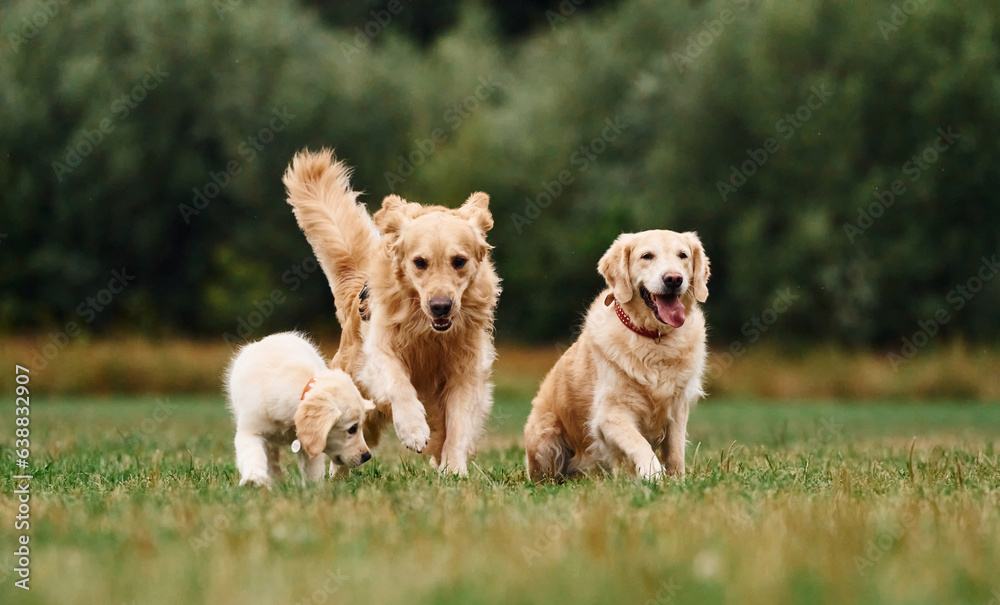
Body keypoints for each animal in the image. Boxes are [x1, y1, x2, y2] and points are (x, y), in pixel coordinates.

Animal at [226, 330, 376, 486]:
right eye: (352, 429)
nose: (367, 456)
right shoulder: (251, 430)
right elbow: (253, 455)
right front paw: (254, 479)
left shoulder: (309, 442)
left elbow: (312, 470)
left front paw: (312, 488)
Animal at [282, 149, 500, 474]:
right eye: (420, 262)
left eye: (459, 261)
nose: (440, 306)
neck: (428, 333)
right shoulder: (379, 352)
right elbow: (398, 383)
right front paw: (413, 428)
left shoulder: (467, 371)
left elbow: (459, 423)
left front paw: (454, 469)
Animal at [524, 231, 712, 482]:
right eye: (647, 256)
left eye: (683, 255)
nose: (674, 279)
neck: (654, 338)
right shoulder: (610, 414)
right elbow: (640, 444)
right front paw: (653, 475)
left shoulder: (677, 409)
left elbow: (675, 451)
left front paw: (677, 480)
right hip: (545, 436)